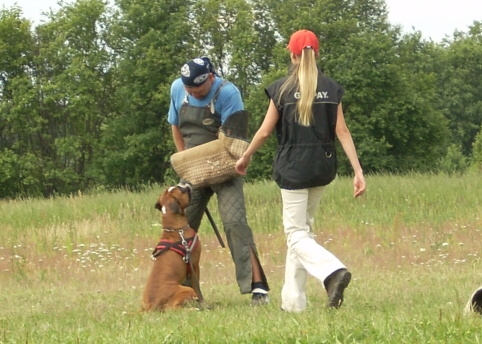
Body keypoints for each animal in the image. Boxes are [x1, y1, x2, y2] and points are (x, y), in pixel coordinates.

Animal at [143, 183, 203, 312]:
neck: (175, 229)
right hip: (185, 291)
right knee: (173, 309)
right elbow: (198, 288)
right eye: (180, 189)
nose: (184, 184)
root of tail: (151, 306)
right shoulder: (194, 265)